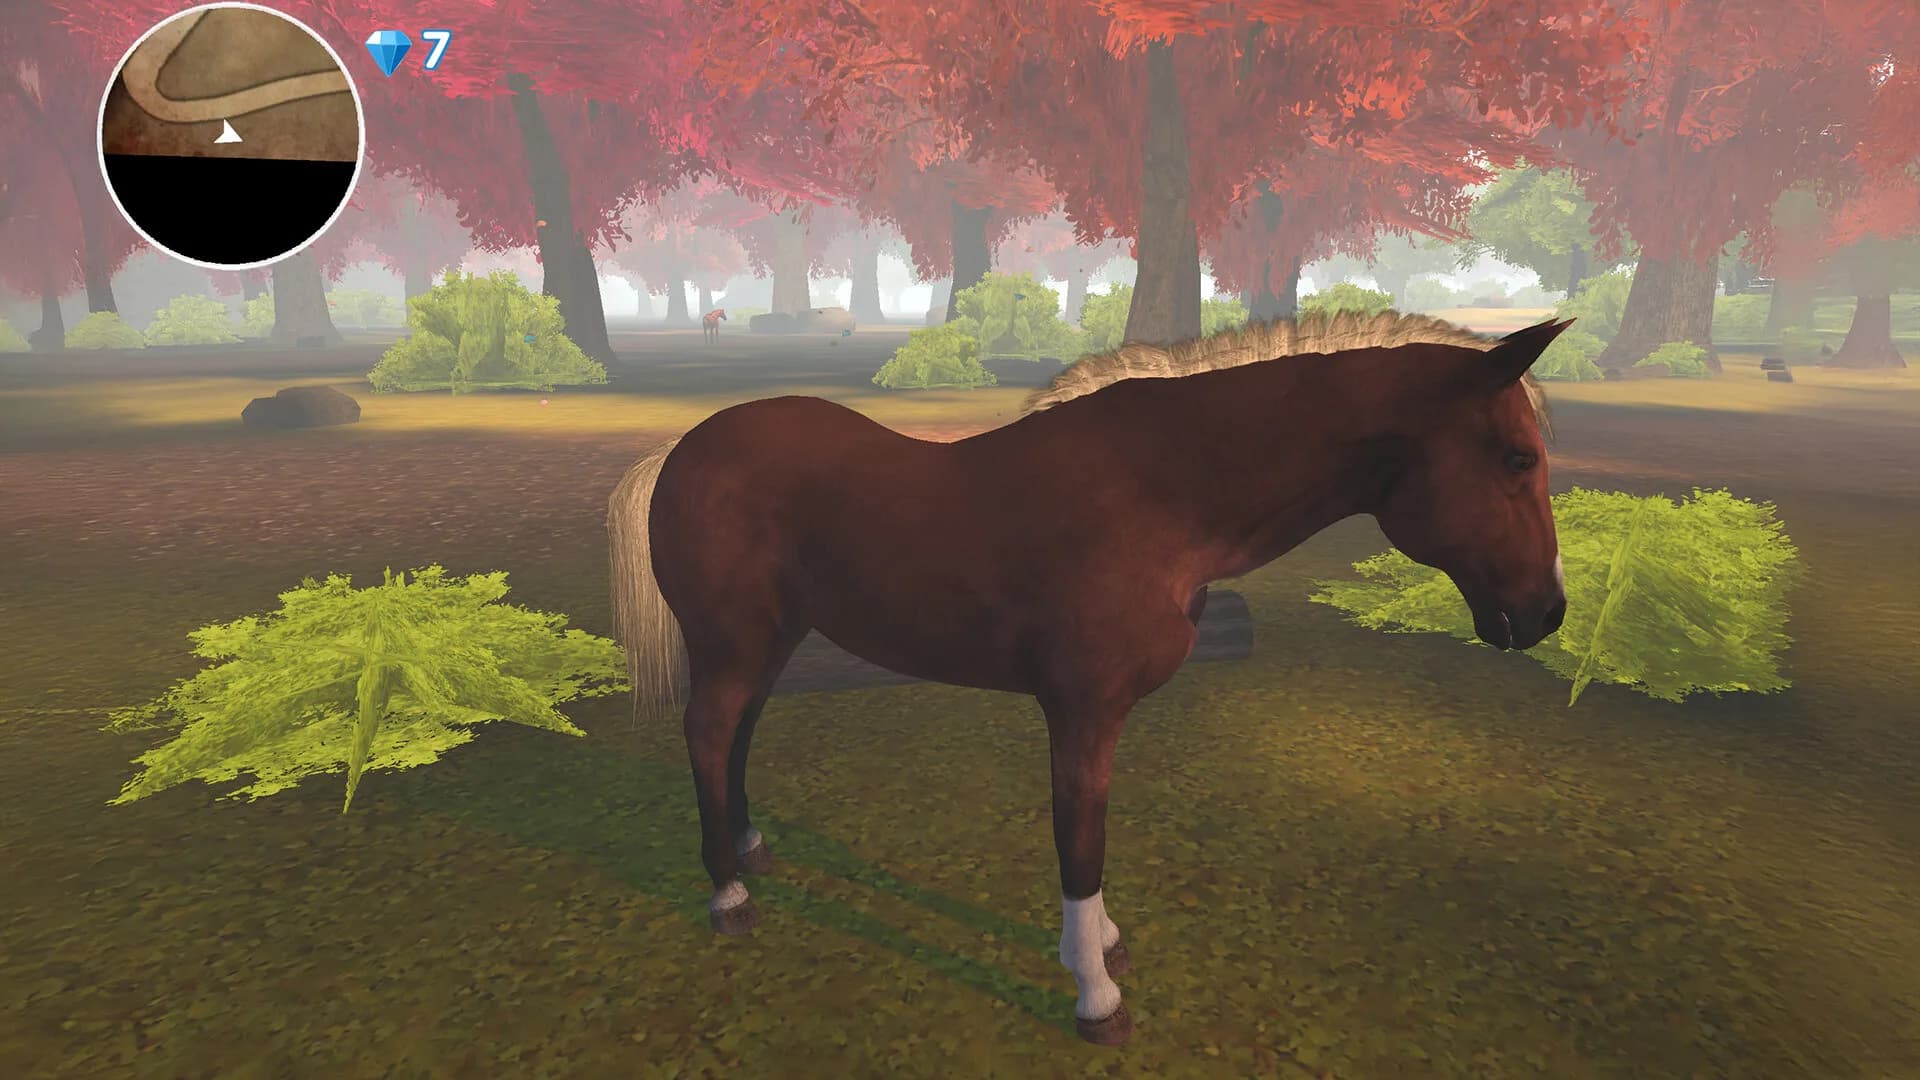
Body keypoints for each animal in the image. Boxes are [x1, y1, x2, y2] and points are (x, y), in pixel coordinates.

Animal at [608, 311, 1571, 1046]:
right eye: (1517, 459)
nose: (1547, 613)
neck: (1158, 493)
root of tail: (682, 450)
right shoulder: (1080, 710)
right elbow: (1082, 843)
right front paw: (1097, 995)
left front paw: (1105, 949)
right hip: (733, 642)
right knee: (710, 731)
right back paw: (728, 894)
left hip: (771, 640)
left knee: (737, 733)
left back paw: (750, 849)